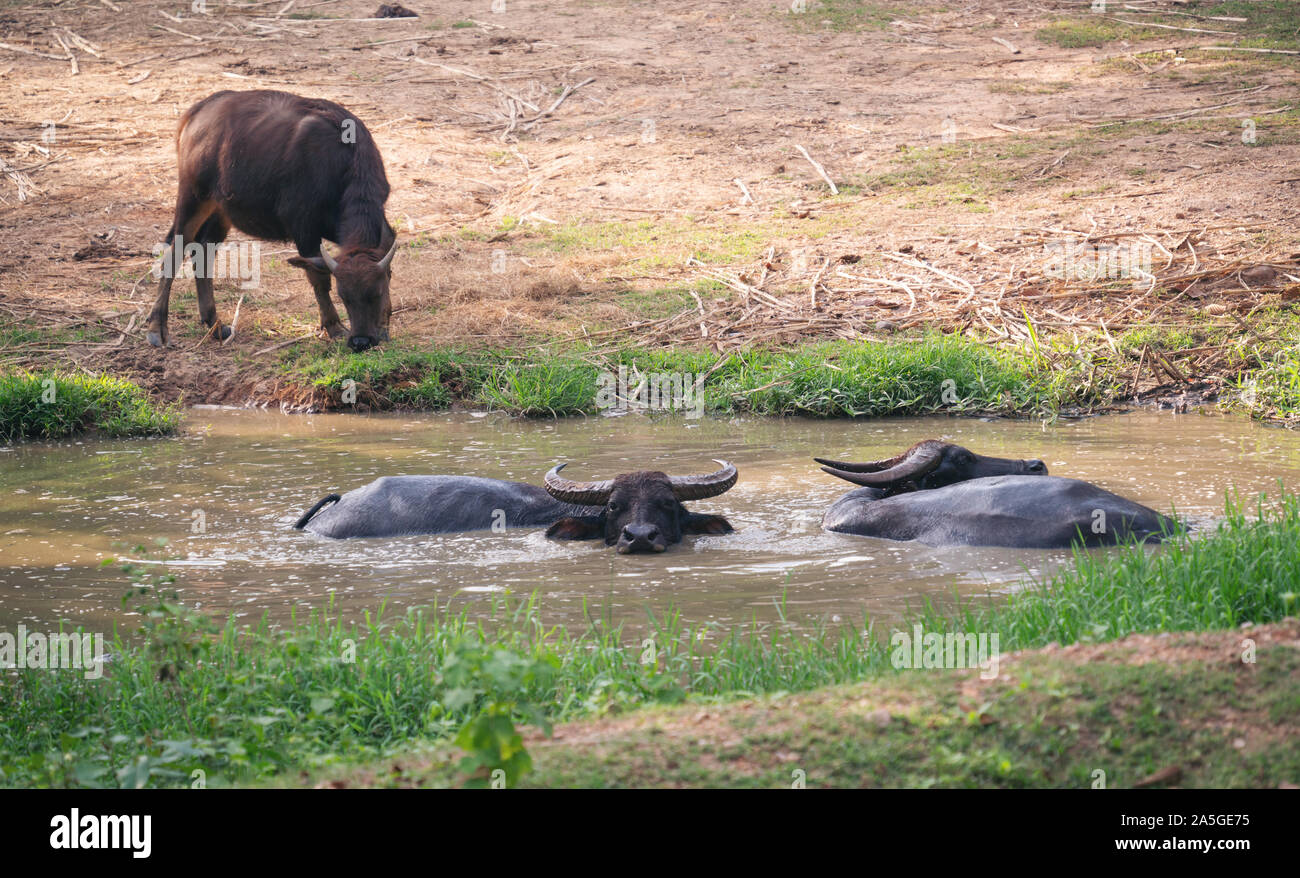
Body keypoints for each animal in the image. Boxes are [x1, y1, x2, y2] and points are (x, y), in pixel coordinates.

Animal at [148, 87, 395, 351]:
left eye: (377, 293)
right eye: (344, 296)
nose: (361, 341)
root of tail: (199, 110)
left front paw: (383, 326)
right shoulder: (303, 228)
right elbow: (318, 278)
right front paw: (334, 326)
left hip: (220, 210)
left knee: (203, 252)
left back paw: (215, 324)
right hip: (193, 198)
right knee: (174, 253)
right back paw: (157, 329)